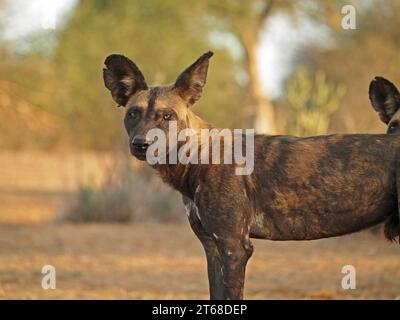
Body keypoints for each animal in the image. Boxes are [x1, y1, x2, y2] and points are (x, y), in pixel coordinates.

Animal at [104, 51, 400, 298]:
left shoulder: (234, 248)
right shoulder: (213, 248)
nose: (141, 144)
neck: (198, 156)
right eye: (133, 114)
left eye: (167, 116)